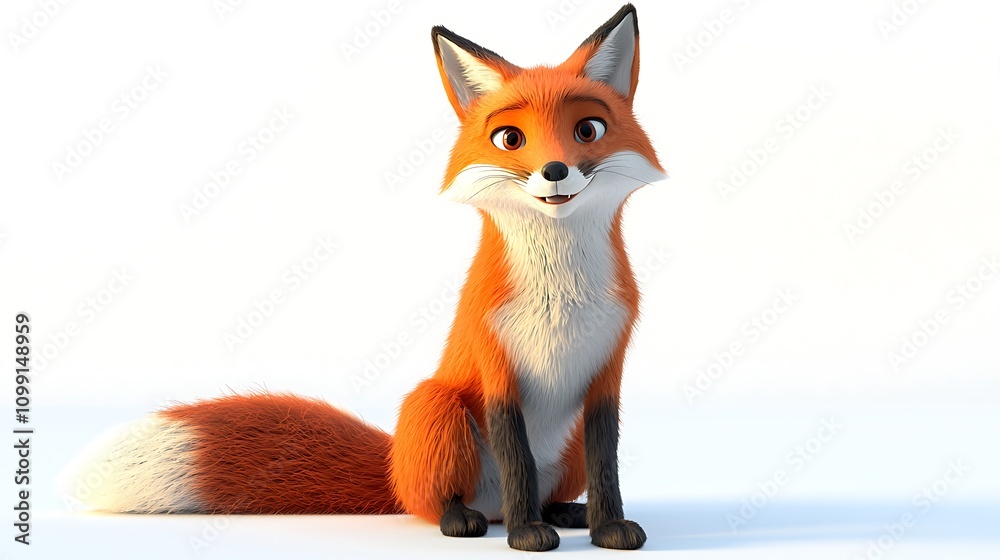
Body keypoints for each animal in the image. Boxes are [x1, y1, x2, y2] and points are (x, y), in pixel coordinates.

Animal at [69, 4, 666, 552]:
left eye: (588, 129)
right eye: (510, 139)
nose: (555, 171)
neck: (561, 295)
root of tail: (393, 469)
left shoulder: (607, 373)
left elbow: (607, 465)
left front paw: (609, 528)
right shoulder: (496, 367)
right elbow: (517, 459)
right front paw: (527, 536)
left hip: (562, 448)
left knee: (545, 488)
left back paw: (563, 511)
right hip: (437, 405)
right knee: (444, 501)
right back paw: (471, 519)